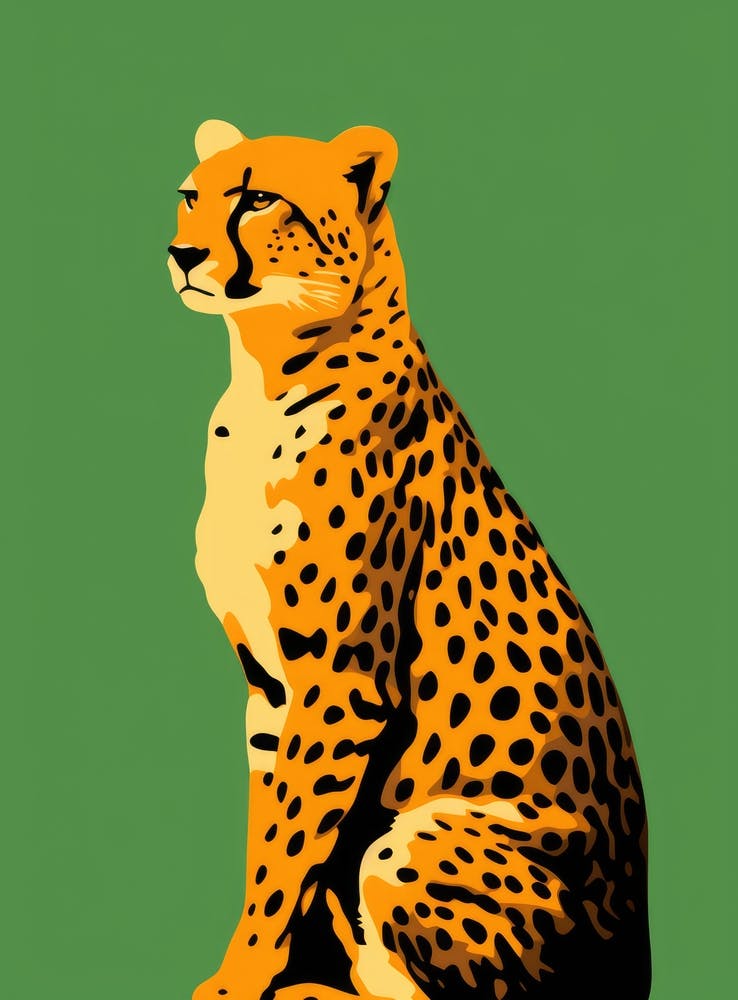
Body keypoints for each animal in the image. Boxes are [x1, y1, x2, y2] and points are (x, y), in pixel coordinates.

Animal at [166, 119, 651, 1000]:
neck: (261, 376)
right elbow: (272, 845)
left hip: (415, 840)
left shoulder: (340, 685)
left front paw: (237, 983)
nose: (182, 253)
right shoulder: (271, 691)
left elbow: (286, 854)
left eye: (258, 199)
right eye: (191, 195)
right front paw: (259, 970)